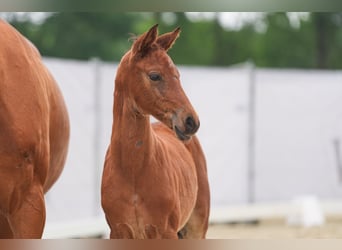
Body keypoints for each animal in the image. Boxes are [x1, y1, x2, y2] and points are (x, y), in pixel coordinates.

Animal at [100, 24, 210, 238]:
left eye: (177, 75)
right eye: (154, 75)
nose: (191, 121)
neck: (132, 172)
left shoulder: (166, 232)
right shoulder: (118, 231)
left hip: (196, 228)